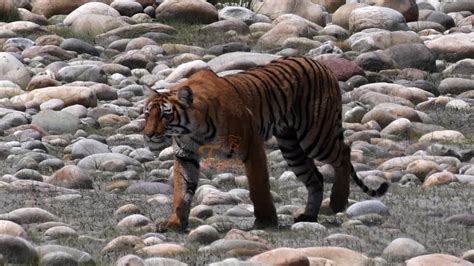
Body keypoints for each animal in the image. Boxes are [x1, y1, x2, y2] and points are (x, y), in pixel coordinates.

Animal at [143, 56, 386, 231]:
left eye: (165, 115)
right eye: (147, 114)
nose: (147, 134)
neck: (193, 130)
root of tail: (322, 65)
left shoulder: (252, 146)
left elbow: (258, 186)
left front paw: (266, 220)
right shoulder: (186, 155)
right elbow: (181, 190)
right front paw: (175, 222)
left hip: (316, 136)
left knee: (344, 152)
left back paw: (337, 201)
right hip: (291, 147)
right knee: (316, 177)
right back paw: (308, 216)